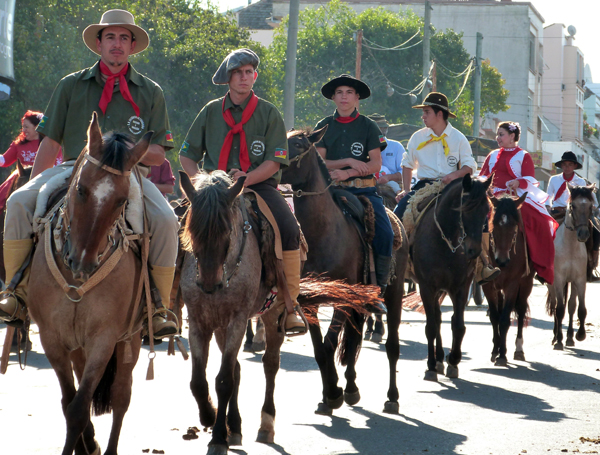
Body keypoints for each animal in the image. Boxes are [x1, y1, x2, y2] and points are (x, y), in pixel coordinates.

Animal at [27, 114, 151, 455]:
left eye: (121, 200)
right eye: (81, 190)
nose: (82, 262)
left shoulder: (103, 340)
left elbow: (79, 408)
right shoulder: (52, 339)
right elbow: (69, 402)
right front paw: (85, 444)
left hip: (129, 341)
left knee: (121, 396)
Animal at [284, 128, 410, 416]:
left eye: (299, 144)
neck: (324, 232)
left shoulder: (342, 299)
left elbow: (330, 344)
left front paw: (333, 393)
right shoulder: (310, 303)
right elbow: (321, 349)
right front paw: (330, 394)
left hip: (394, 293)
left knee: (392, 346)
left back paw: (392, 397)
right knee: (353, 340)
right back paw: (352, 388)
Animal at [412, 175, 492, 382]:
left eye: (486, 210)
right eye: (465, 209)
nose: (473, 251)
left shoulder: (461, 287)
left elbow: (458, 325)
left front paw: (453, 360)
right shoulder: (426, 287)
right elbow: (431, 327)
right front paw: (431, 367)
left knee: (441, 318)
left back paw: (442, 358)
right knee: (436, 320)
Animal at [482, 192, 536, 366]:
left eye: (514, 227)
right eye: (494, 225)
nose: (502, 261)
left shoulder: (512, 284)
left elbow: (505, 319)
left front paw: (502, 355)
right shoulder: (488, 285)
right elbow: (495, 317)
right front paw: (495, 350)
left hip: (526, 283)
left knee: (520, 309)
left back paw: (518, 349)